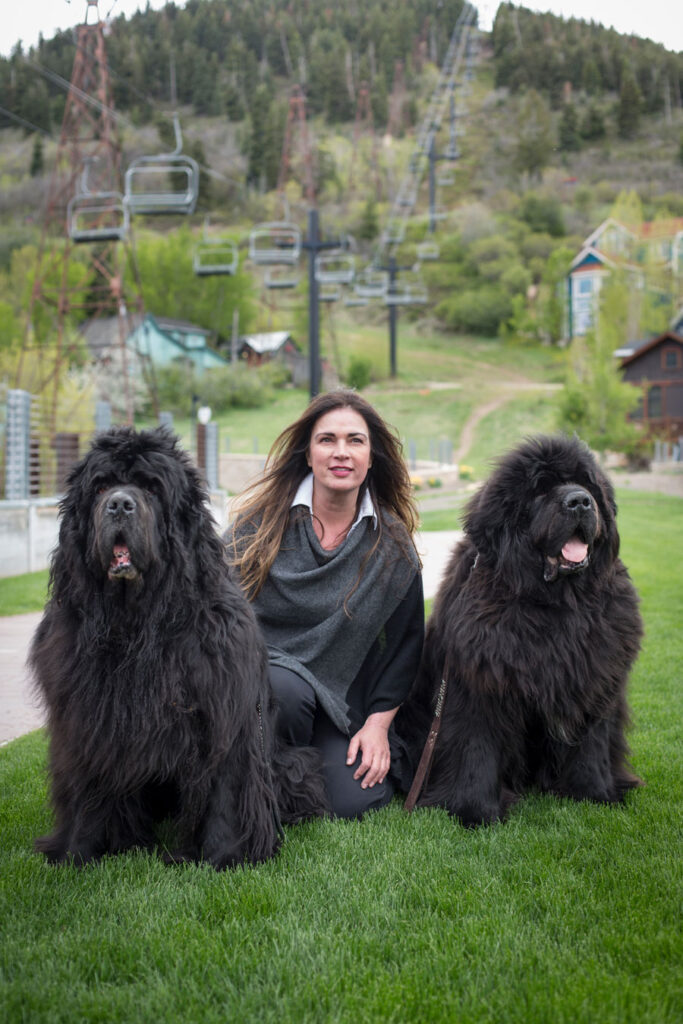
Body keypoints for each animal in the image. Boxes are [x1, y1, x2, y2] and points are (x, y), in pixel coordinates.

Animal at [31, 428, 327, 868]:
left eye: (152, 488)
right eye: (100, 486)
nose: (119, 503)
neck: (140, 623)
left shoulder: (224, 712)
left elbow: (226, 789)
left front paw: (226, 855)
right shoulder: (88, 716)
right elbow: (87, 786)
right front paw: (77, 852)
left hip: (289, 763)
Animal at [397, 436, 643, 827]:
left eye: (587, 485)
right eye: (540, 489)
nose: (580, 501)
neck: (557, 604)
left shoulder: (594, 679)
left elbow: (594, 743)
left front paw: (596, 794)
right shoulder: (478, 684)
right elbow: (476, 746)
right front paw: (474, 811)